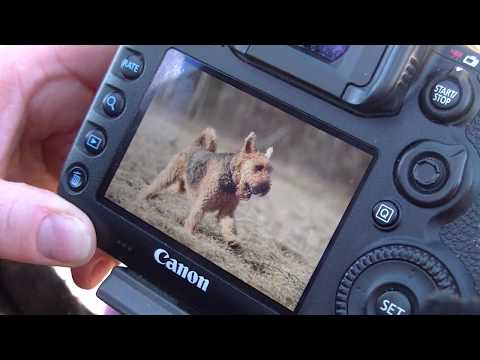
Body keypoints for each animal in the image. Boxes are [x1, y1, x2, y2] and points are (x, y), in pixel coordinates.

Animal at [139, 127, 274, 248]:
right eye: (258, 167)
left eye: (270, 170)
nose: (265, 188)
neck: (230, 180)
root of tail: (197, 146)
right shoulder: (202, 204)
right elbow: (193, 219)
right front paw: (187, 235)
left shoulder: (227, 212)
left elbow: (229, 226)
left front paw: (233, 240)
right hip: (170, 174)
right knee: (156, 185)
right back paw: (142, 197)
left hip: (182, 187)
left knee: (169, 190)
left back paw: (152, 197)